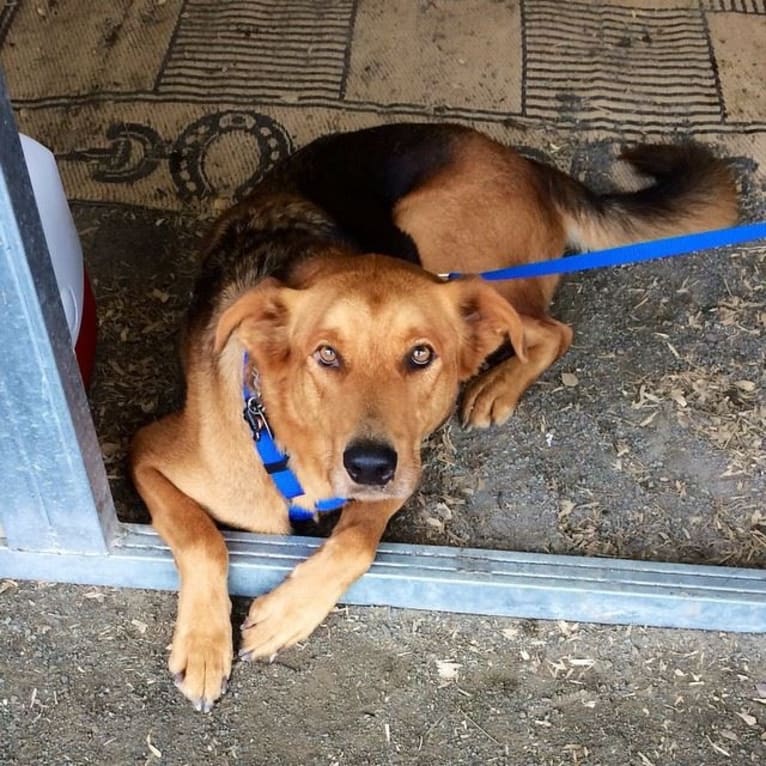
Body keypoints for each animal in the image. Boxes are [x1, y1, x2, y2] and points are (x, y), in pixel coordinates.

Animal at [130, 121, 736, 712]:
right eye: (325, 354)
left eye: (421, 355)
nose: (369, 466)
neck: (288, 439)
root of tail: (521, 161)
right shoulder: (147, 454)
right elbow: (202, 537)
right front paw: (205, 647)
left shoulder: (406, 468)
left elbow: (356, 541)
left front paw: (286, 613)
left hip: (448, 251)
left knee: (548, 330)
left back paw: (495, 385)